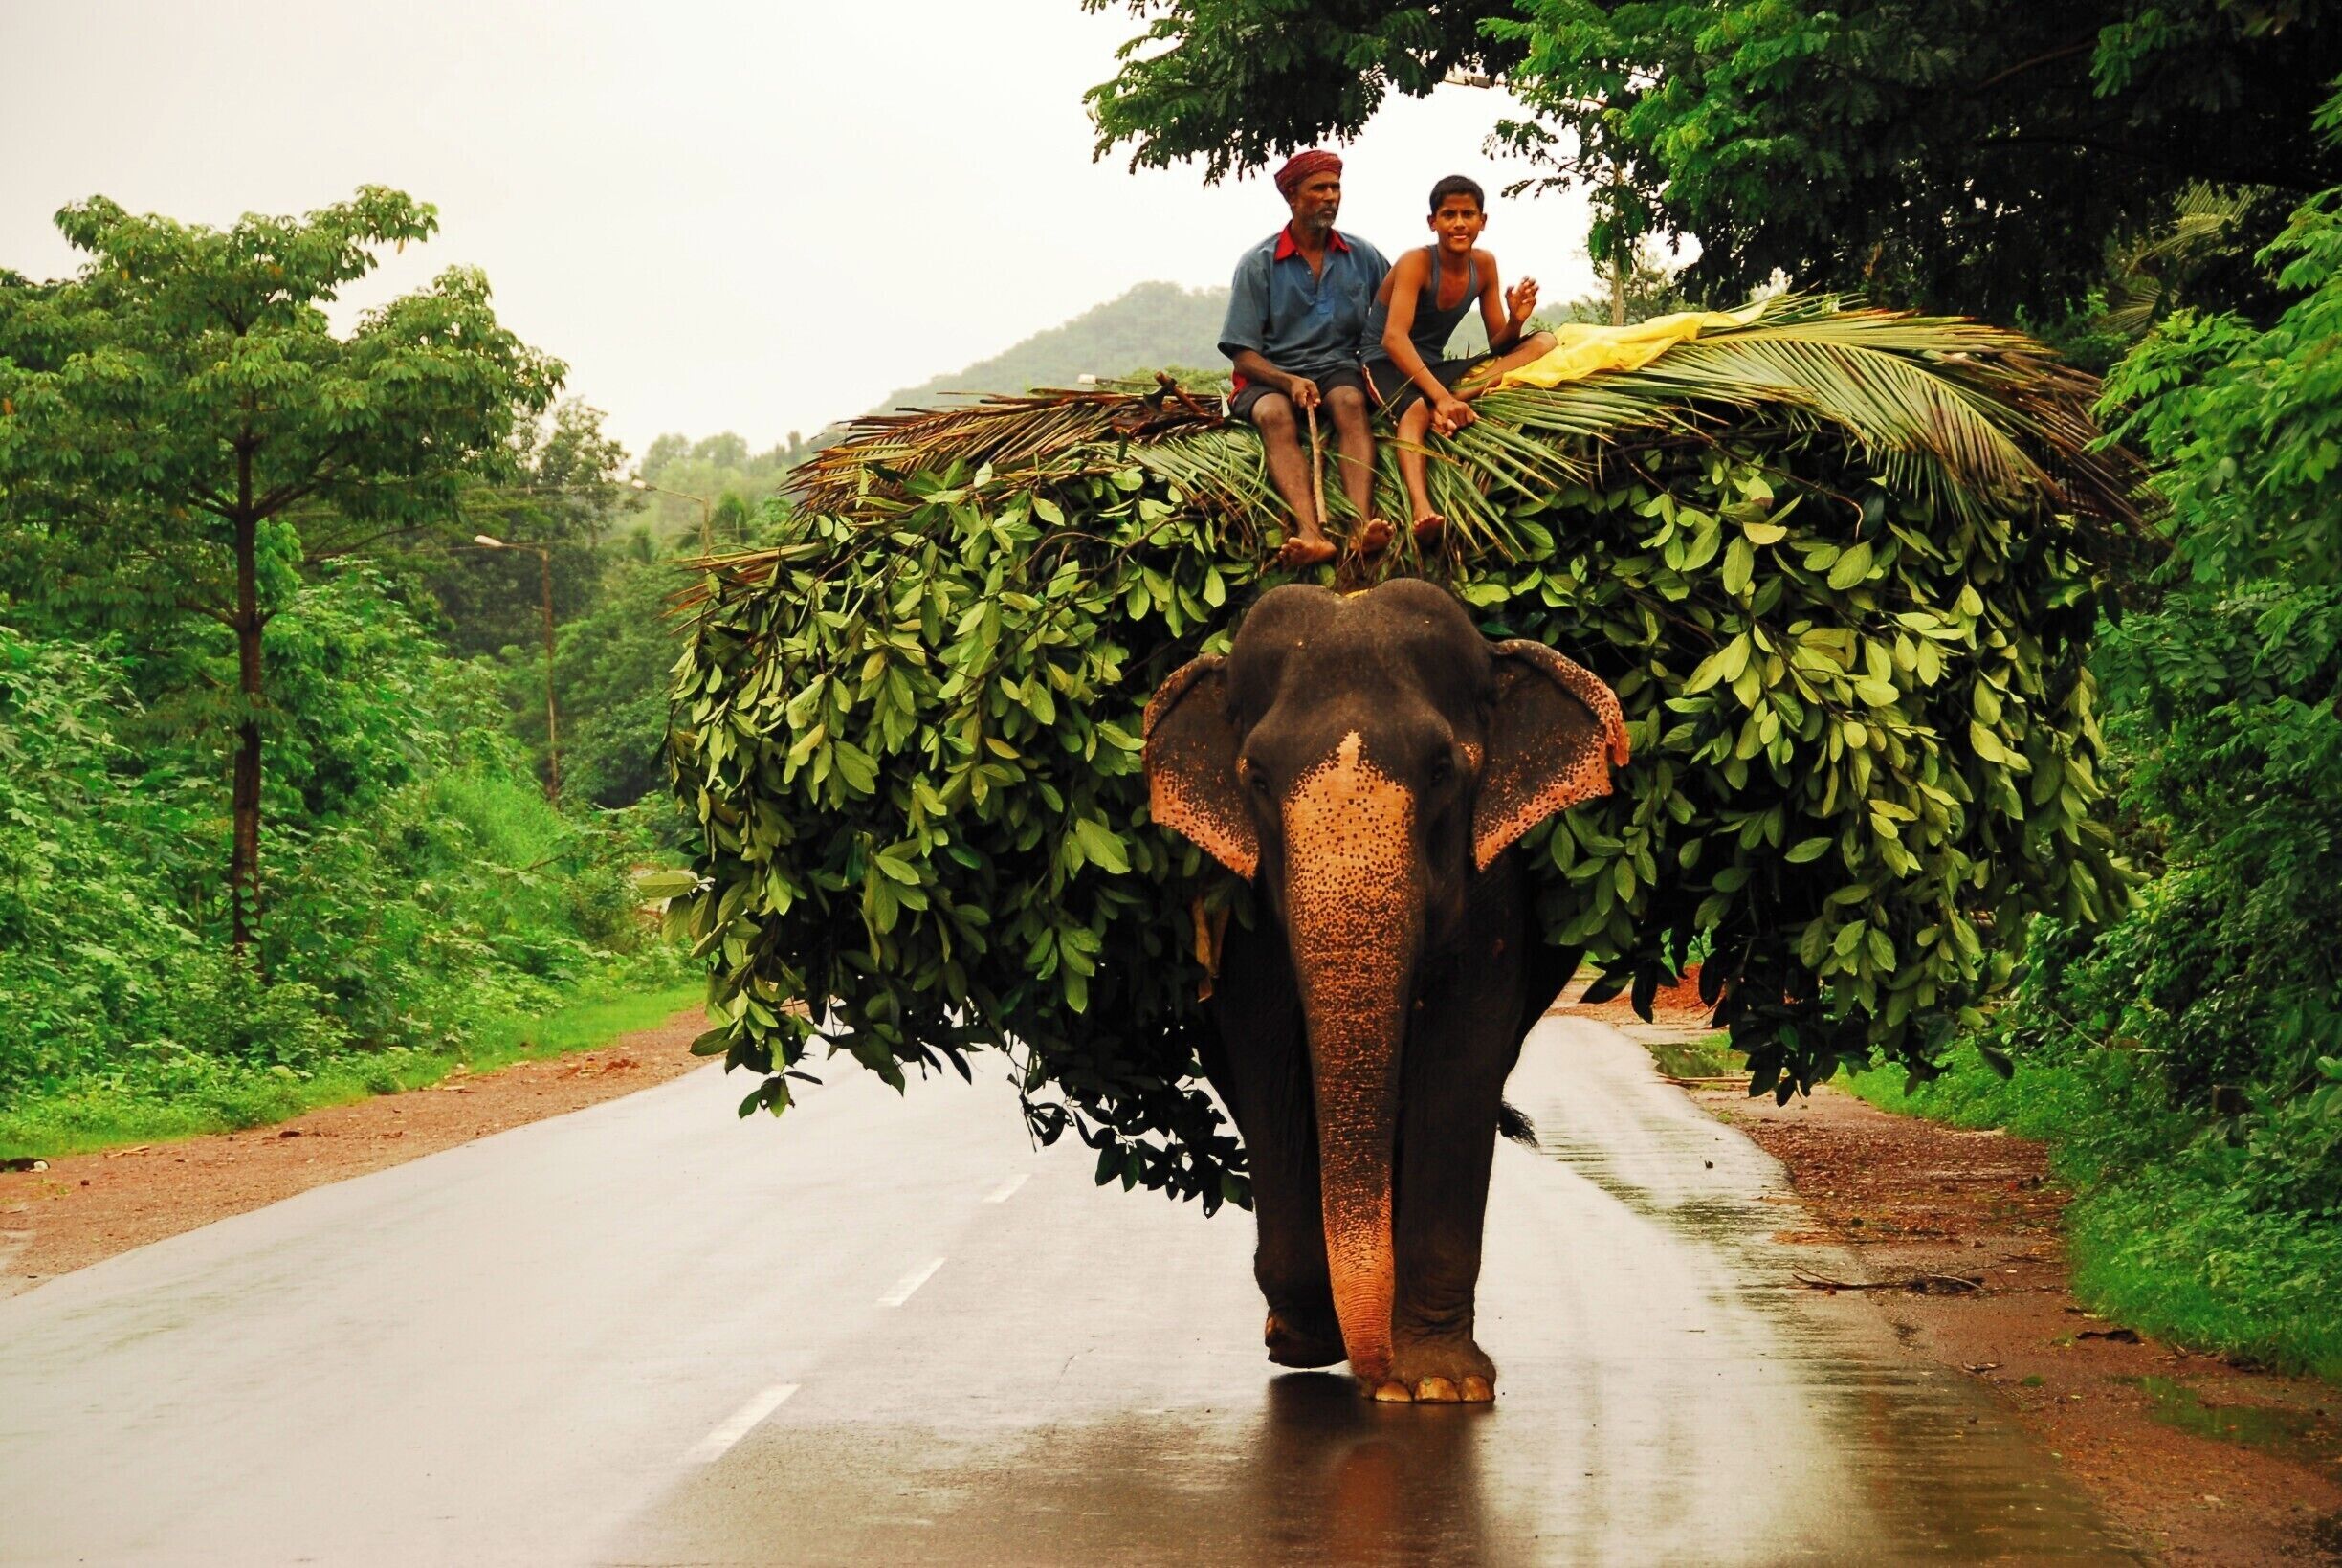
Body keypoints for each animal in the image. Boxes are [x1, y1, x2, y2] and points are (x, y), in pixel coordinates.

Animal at [1143, 577, 1630, 1403]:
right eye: (1256, 777)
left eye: (1441, 769)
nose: (1375, 1381)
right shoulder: (1242, 913)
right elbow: (1270, 1061)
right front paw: (1310, 1343)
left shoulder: (1492, 895)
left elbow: (1459, 1060)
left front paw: (1435, 1385)